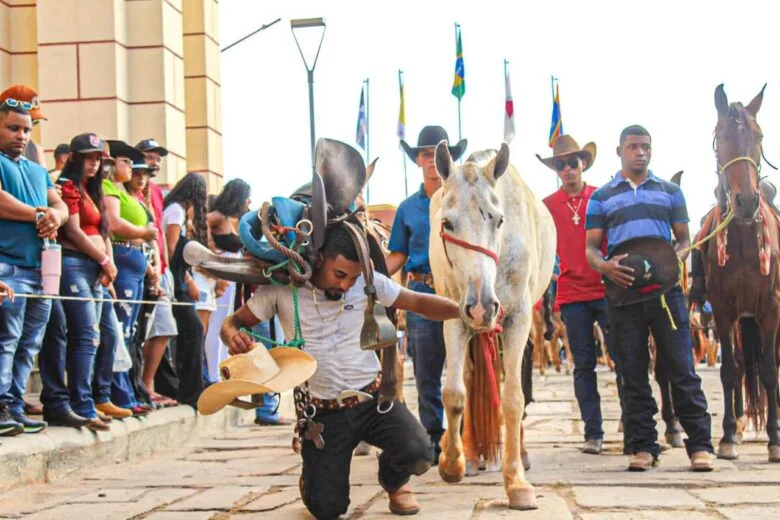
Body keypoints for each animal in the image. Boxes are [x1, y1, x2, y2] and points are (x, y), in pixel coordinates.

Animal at [426, 140, 556, 510]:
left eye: (499, 220)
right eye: (447, 223)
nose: (483, 305)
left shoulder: (518, 319)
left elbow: (513, 399)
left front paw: (516, 482)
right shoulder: (454, 315)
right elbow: (455, 392)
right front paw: (452, 462)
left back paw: (520, 453)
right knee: (471, 379)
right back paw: (471, 455)